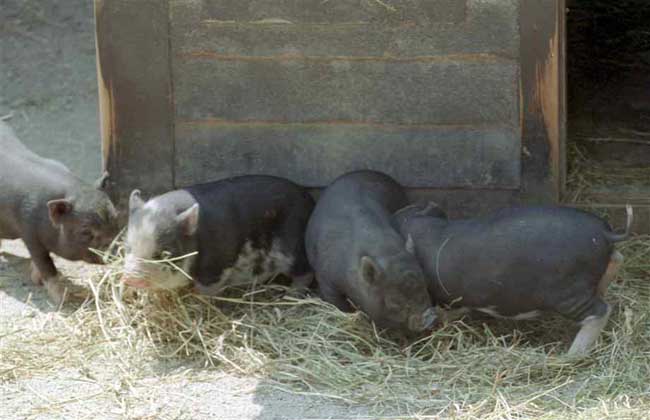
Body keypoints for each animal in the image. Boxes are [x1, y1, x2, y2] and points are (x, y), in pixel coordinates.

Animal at [0, 120, 119, 302]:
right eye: (85, 231)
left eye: (115, 219)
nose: (113, 252)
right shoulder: (28, 232)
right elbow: (46, 265)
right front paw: (62, 298)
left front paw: (37, 280)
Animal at [123, 174, 316, 292]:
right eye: (128, 247)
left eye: (163, 254)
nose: (130, 278)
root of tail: (309, 201)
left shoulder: (217, 264)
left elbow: (205, 290)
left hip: (291, 250)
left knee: (306, 273)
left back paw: (290, 295)